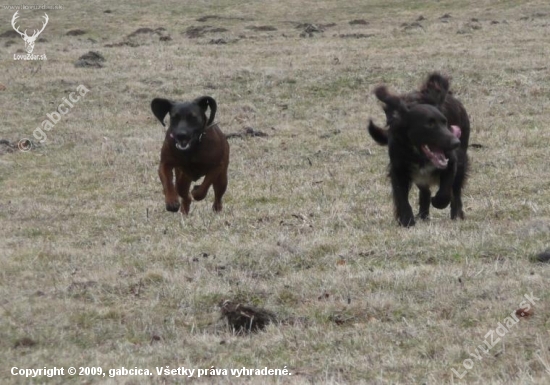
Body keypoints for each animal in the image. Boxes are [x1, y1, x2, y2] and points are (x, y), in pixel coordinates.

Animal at [368, 73, 472, 225]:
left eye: (445, 122)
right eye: (429, 124)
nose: (455, 142)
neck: (419, 155)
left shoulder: (452, 161)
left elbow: (446, 191)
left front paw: (438, 202)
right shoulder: (398, 170)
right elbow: (401, 197)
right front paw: (407, 220)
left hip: (461, 162)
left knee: (456, 192)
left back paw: (456, 215)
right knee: (425, 192)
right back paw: (423, 215)